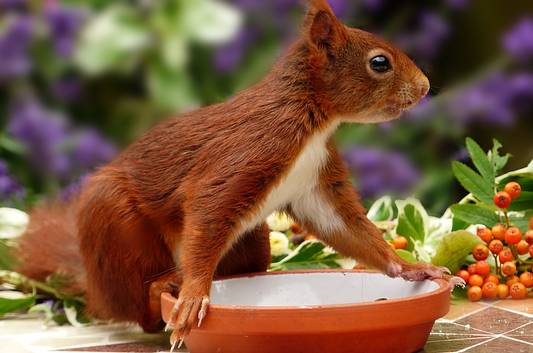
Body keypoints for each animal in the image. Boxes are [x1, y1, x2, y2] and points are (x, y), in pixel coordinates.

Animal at [15, 0, 458, 346]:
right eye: (379, 62)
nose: (424, 87)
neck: (313, 121)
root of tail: (93, 285)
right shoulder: (246, 156)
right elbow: (208, 211)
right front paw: (194, 295)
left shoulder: (315, 182)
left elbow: (345, 228)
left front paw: (411, 267)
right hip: (118, 229)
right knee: (138, 310)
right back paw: (161, 289)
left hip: (252, 241)